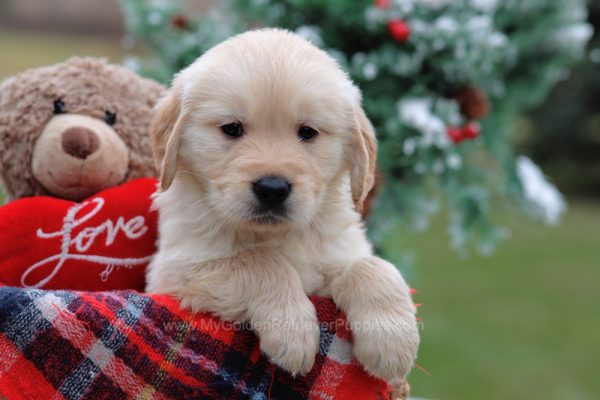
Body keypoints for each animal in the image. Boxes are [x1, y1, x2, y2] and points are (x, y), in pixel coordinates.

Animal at [146, 28, 418, 382]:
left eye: (307, 132)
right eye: (231, 128)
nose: (272, 189)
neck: (278, 235)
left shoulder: (337, 251)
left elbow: (372, 265)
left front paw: (392, 339)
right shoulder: (176, 272)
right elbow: (261, 261)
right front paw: (292, 329)